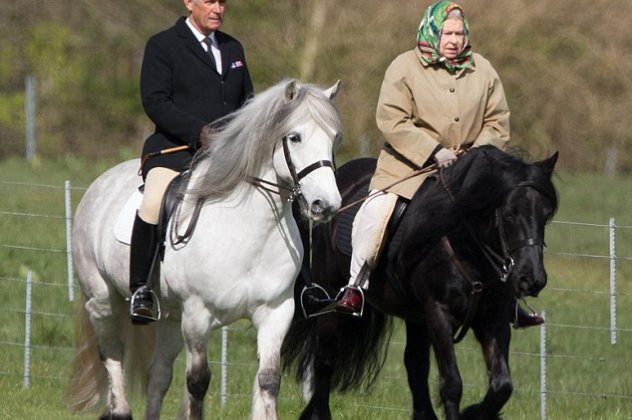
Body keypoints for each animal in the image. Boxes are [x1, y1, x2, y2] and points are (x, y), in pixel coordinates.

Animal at [67, 79, 344, 420]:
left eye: (333, 138)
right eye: (295, 137)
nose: (326, 205)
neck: (249, 230)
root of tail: (101, 182)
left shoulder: (276, 312)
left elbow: (268, 380)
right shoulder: (198, 315)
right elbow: (198, 382)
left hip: (171, 317)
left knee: (158, 375)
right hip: (102, 299)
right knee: (113, 353)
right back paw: (119, 408)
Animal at [282, 145, 556, 420]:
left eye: (545, 215)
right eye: (509, 214)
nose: (532, 279)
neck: (464, 244)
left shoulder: (493, 320)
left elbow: (502, 386)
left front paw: (474, 413)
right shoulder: (439, 313)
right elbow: (451, 384)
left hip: (415, 317)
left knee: (414, 365)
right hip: (331, 297)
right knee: (325, 360)